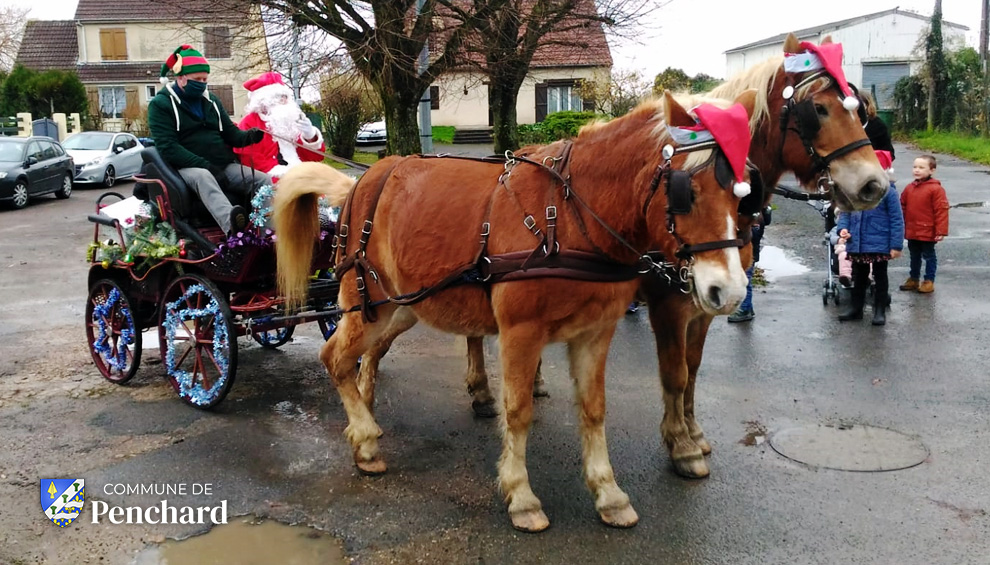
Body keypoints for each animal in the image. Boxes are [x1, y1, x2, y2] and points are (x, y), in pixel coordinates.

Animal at [280, 91, 760, 528]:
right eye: (686, 191)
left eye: (744, 196)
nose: (730, 291)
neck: (566, 214)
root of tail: (364, 180)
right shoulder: (520, 332)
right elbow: (518, 410)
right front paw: (522, 496)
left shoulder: (595, 333)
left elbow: (594, 409)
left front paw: (608, 493)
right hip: (368, 303)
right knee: (336, 358)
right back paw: (364, 441)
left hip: (400, 307)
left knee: (364, 357)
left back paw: (366, 421)